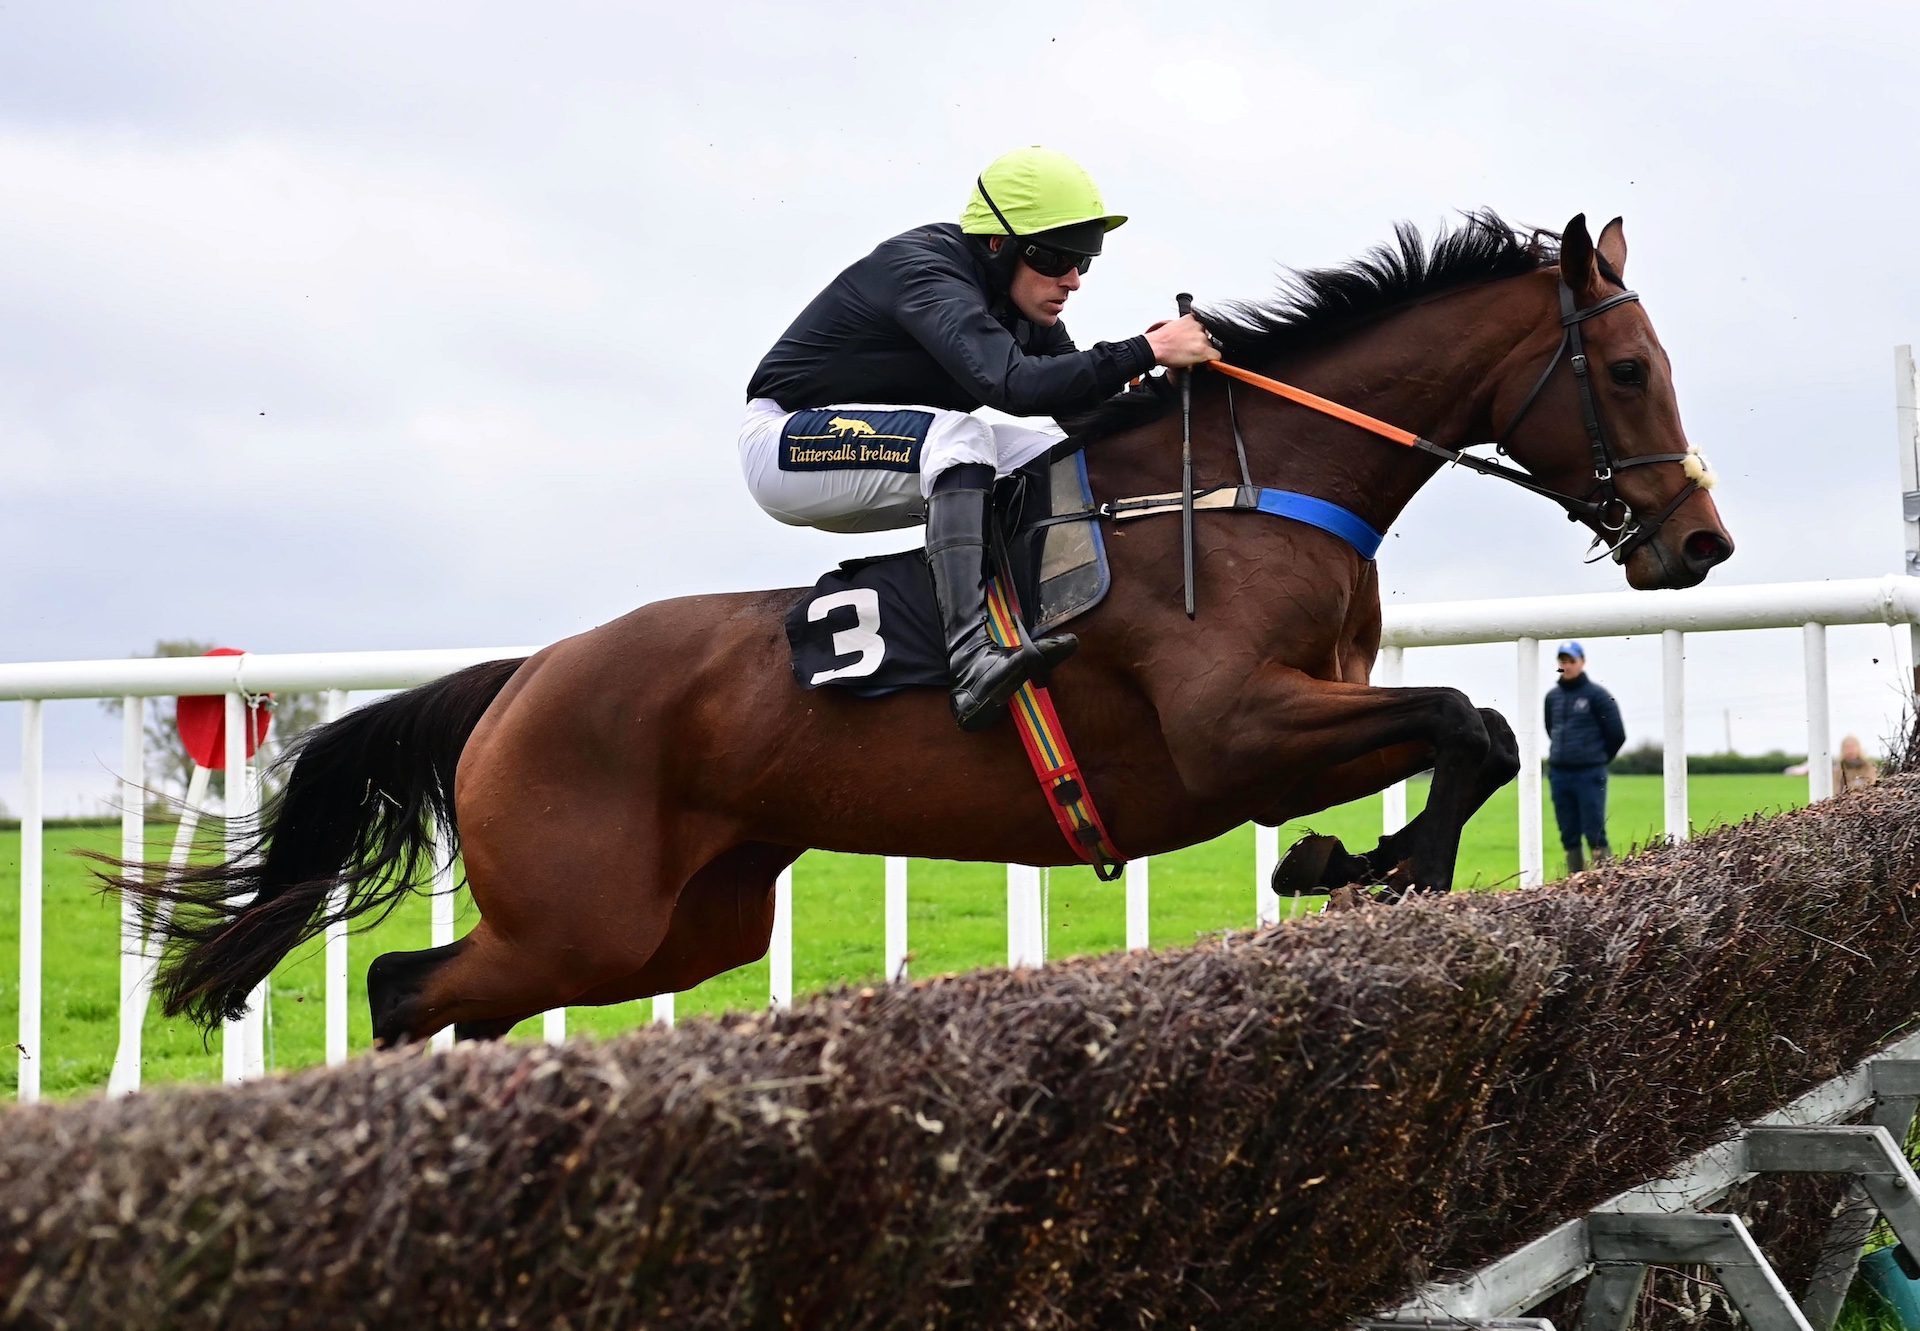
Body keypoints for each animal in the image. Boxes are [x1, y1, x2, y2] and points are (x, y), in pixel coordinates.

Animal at [123, 210, 1743, 1052]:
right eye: (1623, 367)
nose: (1699, 543)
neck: (1243, 483)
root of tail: (523, 678)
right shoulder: (1235, 733)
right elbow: (1471, 720)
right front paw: (1357, 863)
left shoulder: (1300, 721)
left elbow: (1473, 735)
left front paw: (1361, 863)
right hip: (586, 910)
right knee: (405, 986)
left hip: (683, 923)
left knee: (449, 992)